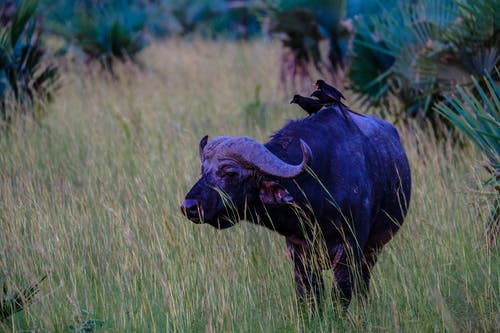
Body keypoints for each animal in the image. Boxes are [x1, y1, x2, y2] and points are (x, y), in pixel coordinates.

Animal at [180, 105, 410, 308]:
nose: (189, 206)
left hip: (373, 250)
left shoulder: (350, 248)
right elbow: (309, 298)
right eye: (203, 171)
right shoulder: (299, 254)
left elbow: (340, 297)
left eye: (229, 172)